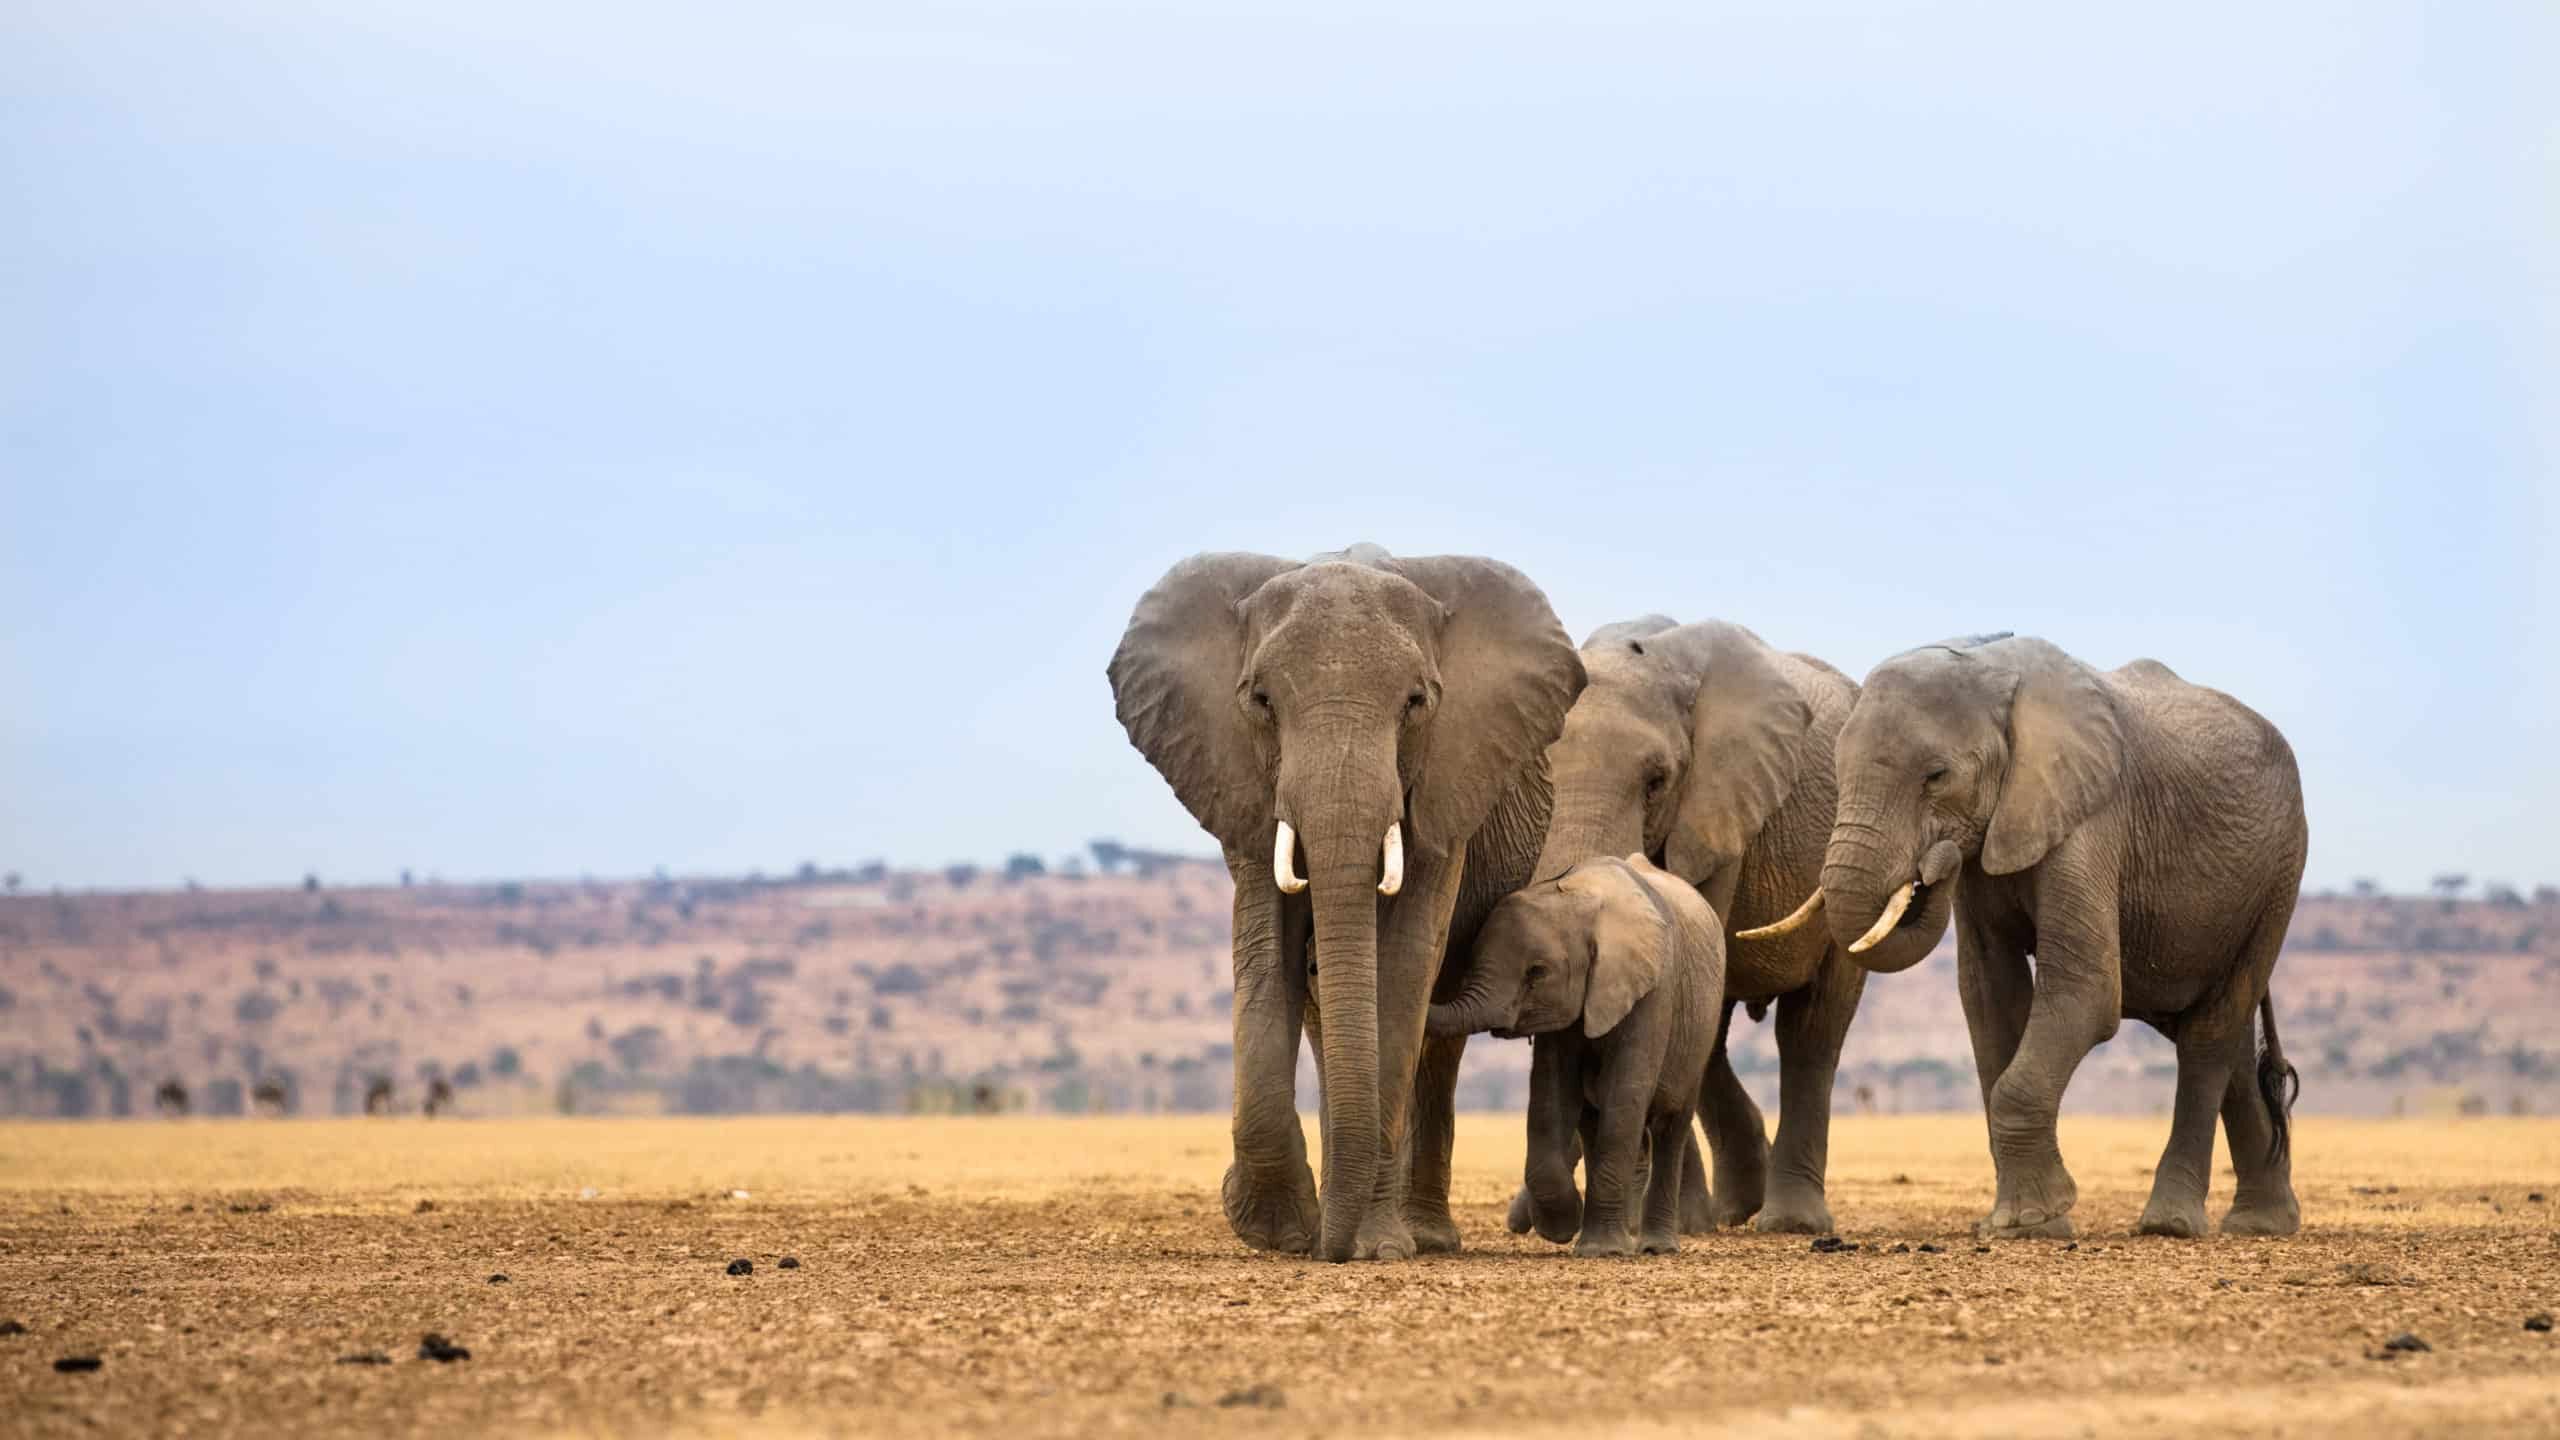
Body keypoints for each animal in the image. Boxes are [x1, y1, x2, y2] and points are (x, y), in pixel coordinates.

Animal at [1100, 540, 1576, 1255]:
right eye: (1261, 700)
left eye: (1416, 702)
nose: (1328, 1251)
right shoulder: (1244, 781)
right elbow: (1268, 953)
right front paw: (1277, 1232)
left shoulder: (1447, 783)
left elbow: (1403, 965)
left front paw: (1371, 1248)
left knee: (1436, 1039)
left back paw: (1422, 1237)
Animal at [1443, 850, 1720, 1245]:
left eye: (1537, 972)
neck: (1584, 898)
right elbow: (1550, 1095)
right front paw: (1563, 1226)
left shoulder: (1653, 990)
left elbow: (1625, 1095)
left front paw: (1598, 1248)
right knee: (1594, 1125)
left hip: (1699, 1032)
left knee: (1671, 1127)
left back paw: (1654, 1247)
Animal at [1812, 632, 2314, 1240]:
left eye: (1937, 775)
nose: (1934, 862)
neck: (1992, 670)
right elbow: (1990, 995)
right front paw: (2028, 1226)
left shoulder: (2089, 816)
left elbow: (2086, 992)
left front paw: (2029, 1220)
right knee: (2233, 1042)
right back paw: (2262, 1225)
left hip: (2281, 873)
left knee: (2212, 1035)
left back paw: (2169, 1226)